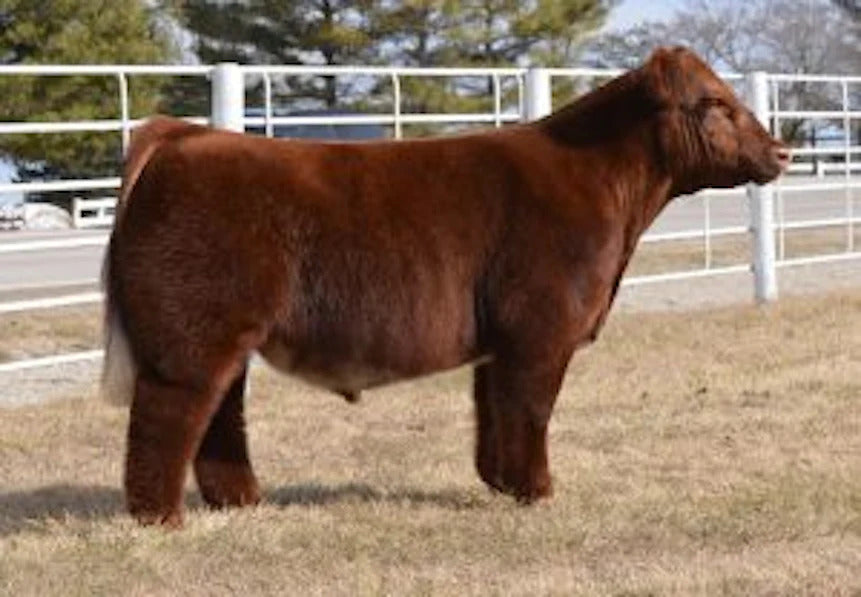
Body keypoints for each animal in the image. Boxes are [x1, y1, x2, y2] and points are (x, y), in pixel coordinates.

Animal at [101, 46, 789, 526]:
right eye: (714, 104)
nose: (781, 151)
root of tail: (185, 134)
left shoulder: (501, 341)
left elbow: (494, 413)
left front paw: (503, 485)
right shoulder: (539, 331)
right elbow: (531, 410)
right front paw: (539, 491)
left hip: (224, 339)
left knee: (218, 415)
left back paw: (243, 502)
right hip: (193, 336)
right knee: (167, 417)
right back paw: (162, 519)